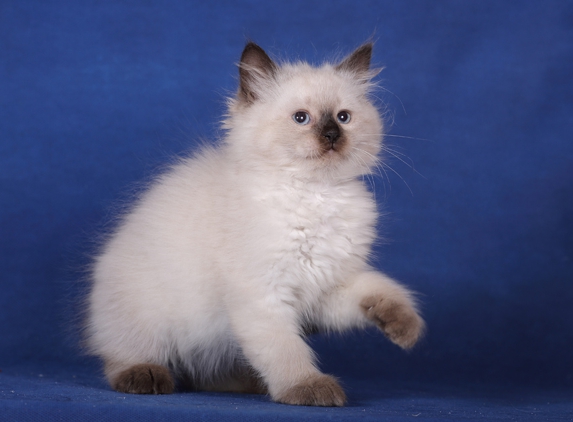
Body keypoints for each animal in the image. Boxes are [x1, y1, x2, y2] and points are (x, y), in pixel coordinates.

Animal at [85, 42, 424, 406]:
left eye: (343, 117)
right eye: (301, 118)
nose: (332, 135)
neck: (315, 192)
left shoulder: (326, 288)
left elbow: (379, 289)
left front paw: (405, 326)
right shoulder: (263, 295)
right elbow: (285, 350)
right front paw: (308, 388)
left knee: (208, 371)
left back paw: (248, 383)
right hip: (147, 315)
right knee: (126, 357)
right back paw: (146, 375)